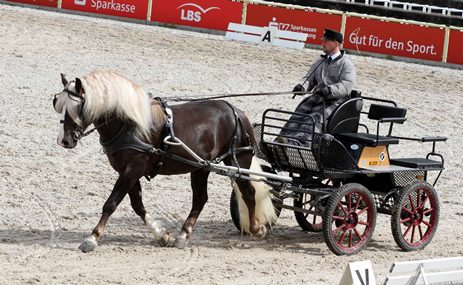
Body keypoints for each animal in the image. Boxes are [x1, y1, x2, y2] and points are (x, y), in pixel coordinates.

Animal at [52, 69, 278, 251]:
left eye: (76, 108)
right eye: (58, 105)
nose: (64, 140)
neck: (129, 124)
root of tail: (237, 112)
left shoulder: (132, 170)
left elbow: (111, 203)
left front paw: (92, 238)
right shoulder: (128, 171)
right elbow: (137, 205)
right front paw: (161, 234)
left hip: (238, 160)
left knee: (248, 192)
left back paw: (256, 229)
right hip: (202, 167)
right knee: (200, 198)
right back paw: (183, 235)